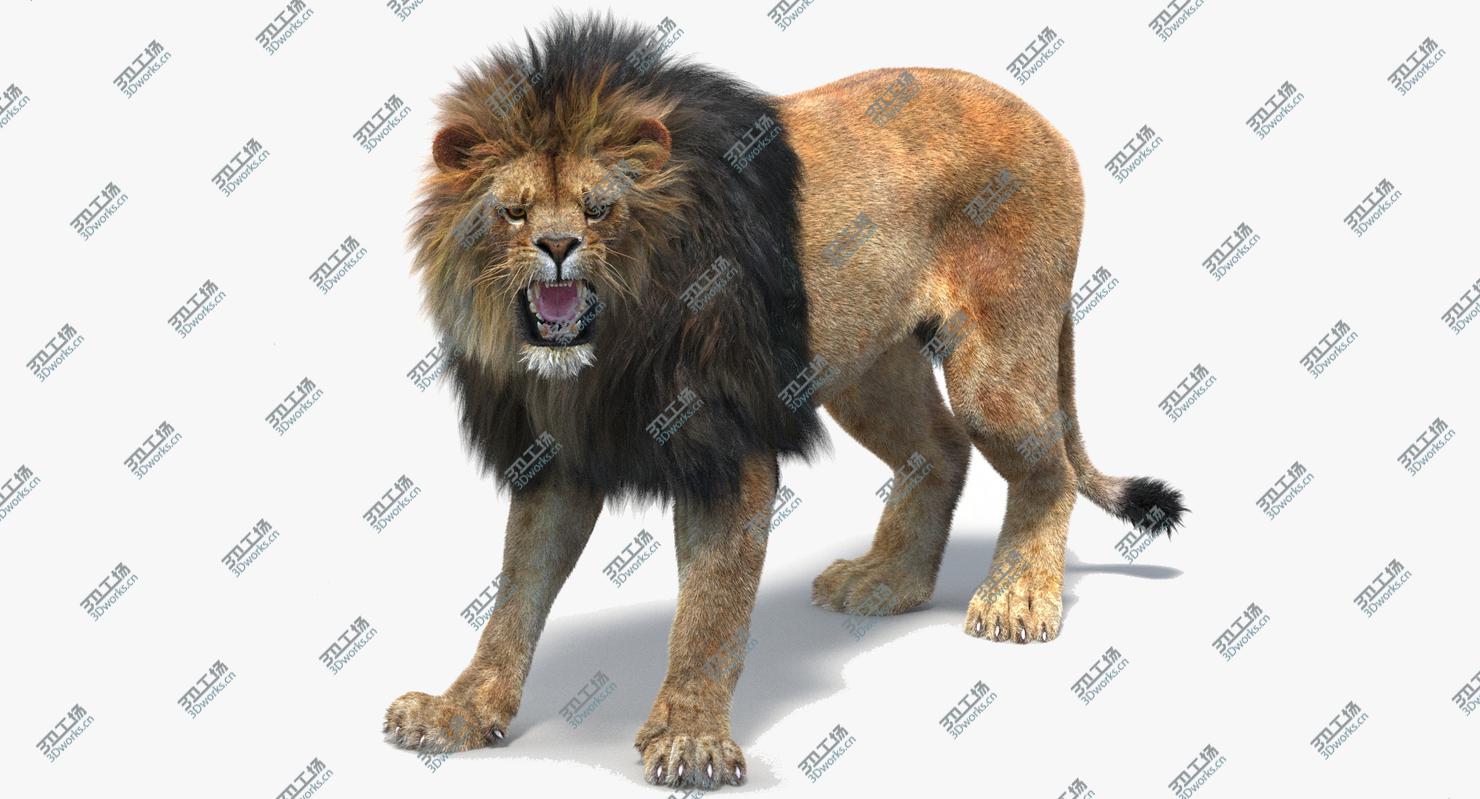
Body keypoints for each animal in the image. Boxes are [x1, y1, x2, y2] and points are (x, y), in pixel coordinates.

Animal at [385, 12, 1186, 790]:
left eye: (600, 208)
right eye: (513, 213)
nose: (557, 247)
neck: (612, 344)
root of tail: (1041, 119)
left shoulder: (728, 441)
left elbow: (711, 611)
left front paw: (692, 739)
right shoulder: (557, 455)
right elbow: (515, 595)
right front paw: (460, 710)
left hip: (995, 361)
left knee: (1047, 468)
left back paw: (1016, 597)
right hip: (867, 366)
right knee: (941, 450)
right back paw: (887, 580)